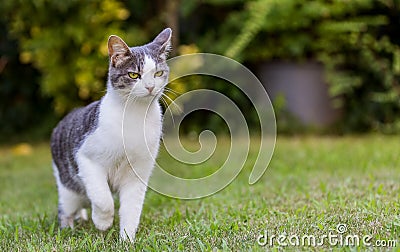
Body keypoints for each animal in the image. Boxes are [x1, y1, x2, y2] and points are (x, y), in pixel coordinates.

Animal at [50, 28, 172, 242]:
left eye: (158, 73)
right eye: (134, 74)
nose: (150, 86)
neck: (135, 115)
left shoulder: (138, 173)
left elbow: (131, 209)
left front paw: (127, 240)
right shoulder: (86, 158)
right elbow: (103, 198)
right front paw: (102, 222)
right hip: (68, 187)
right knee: (66, 209)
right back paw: (69, 229)